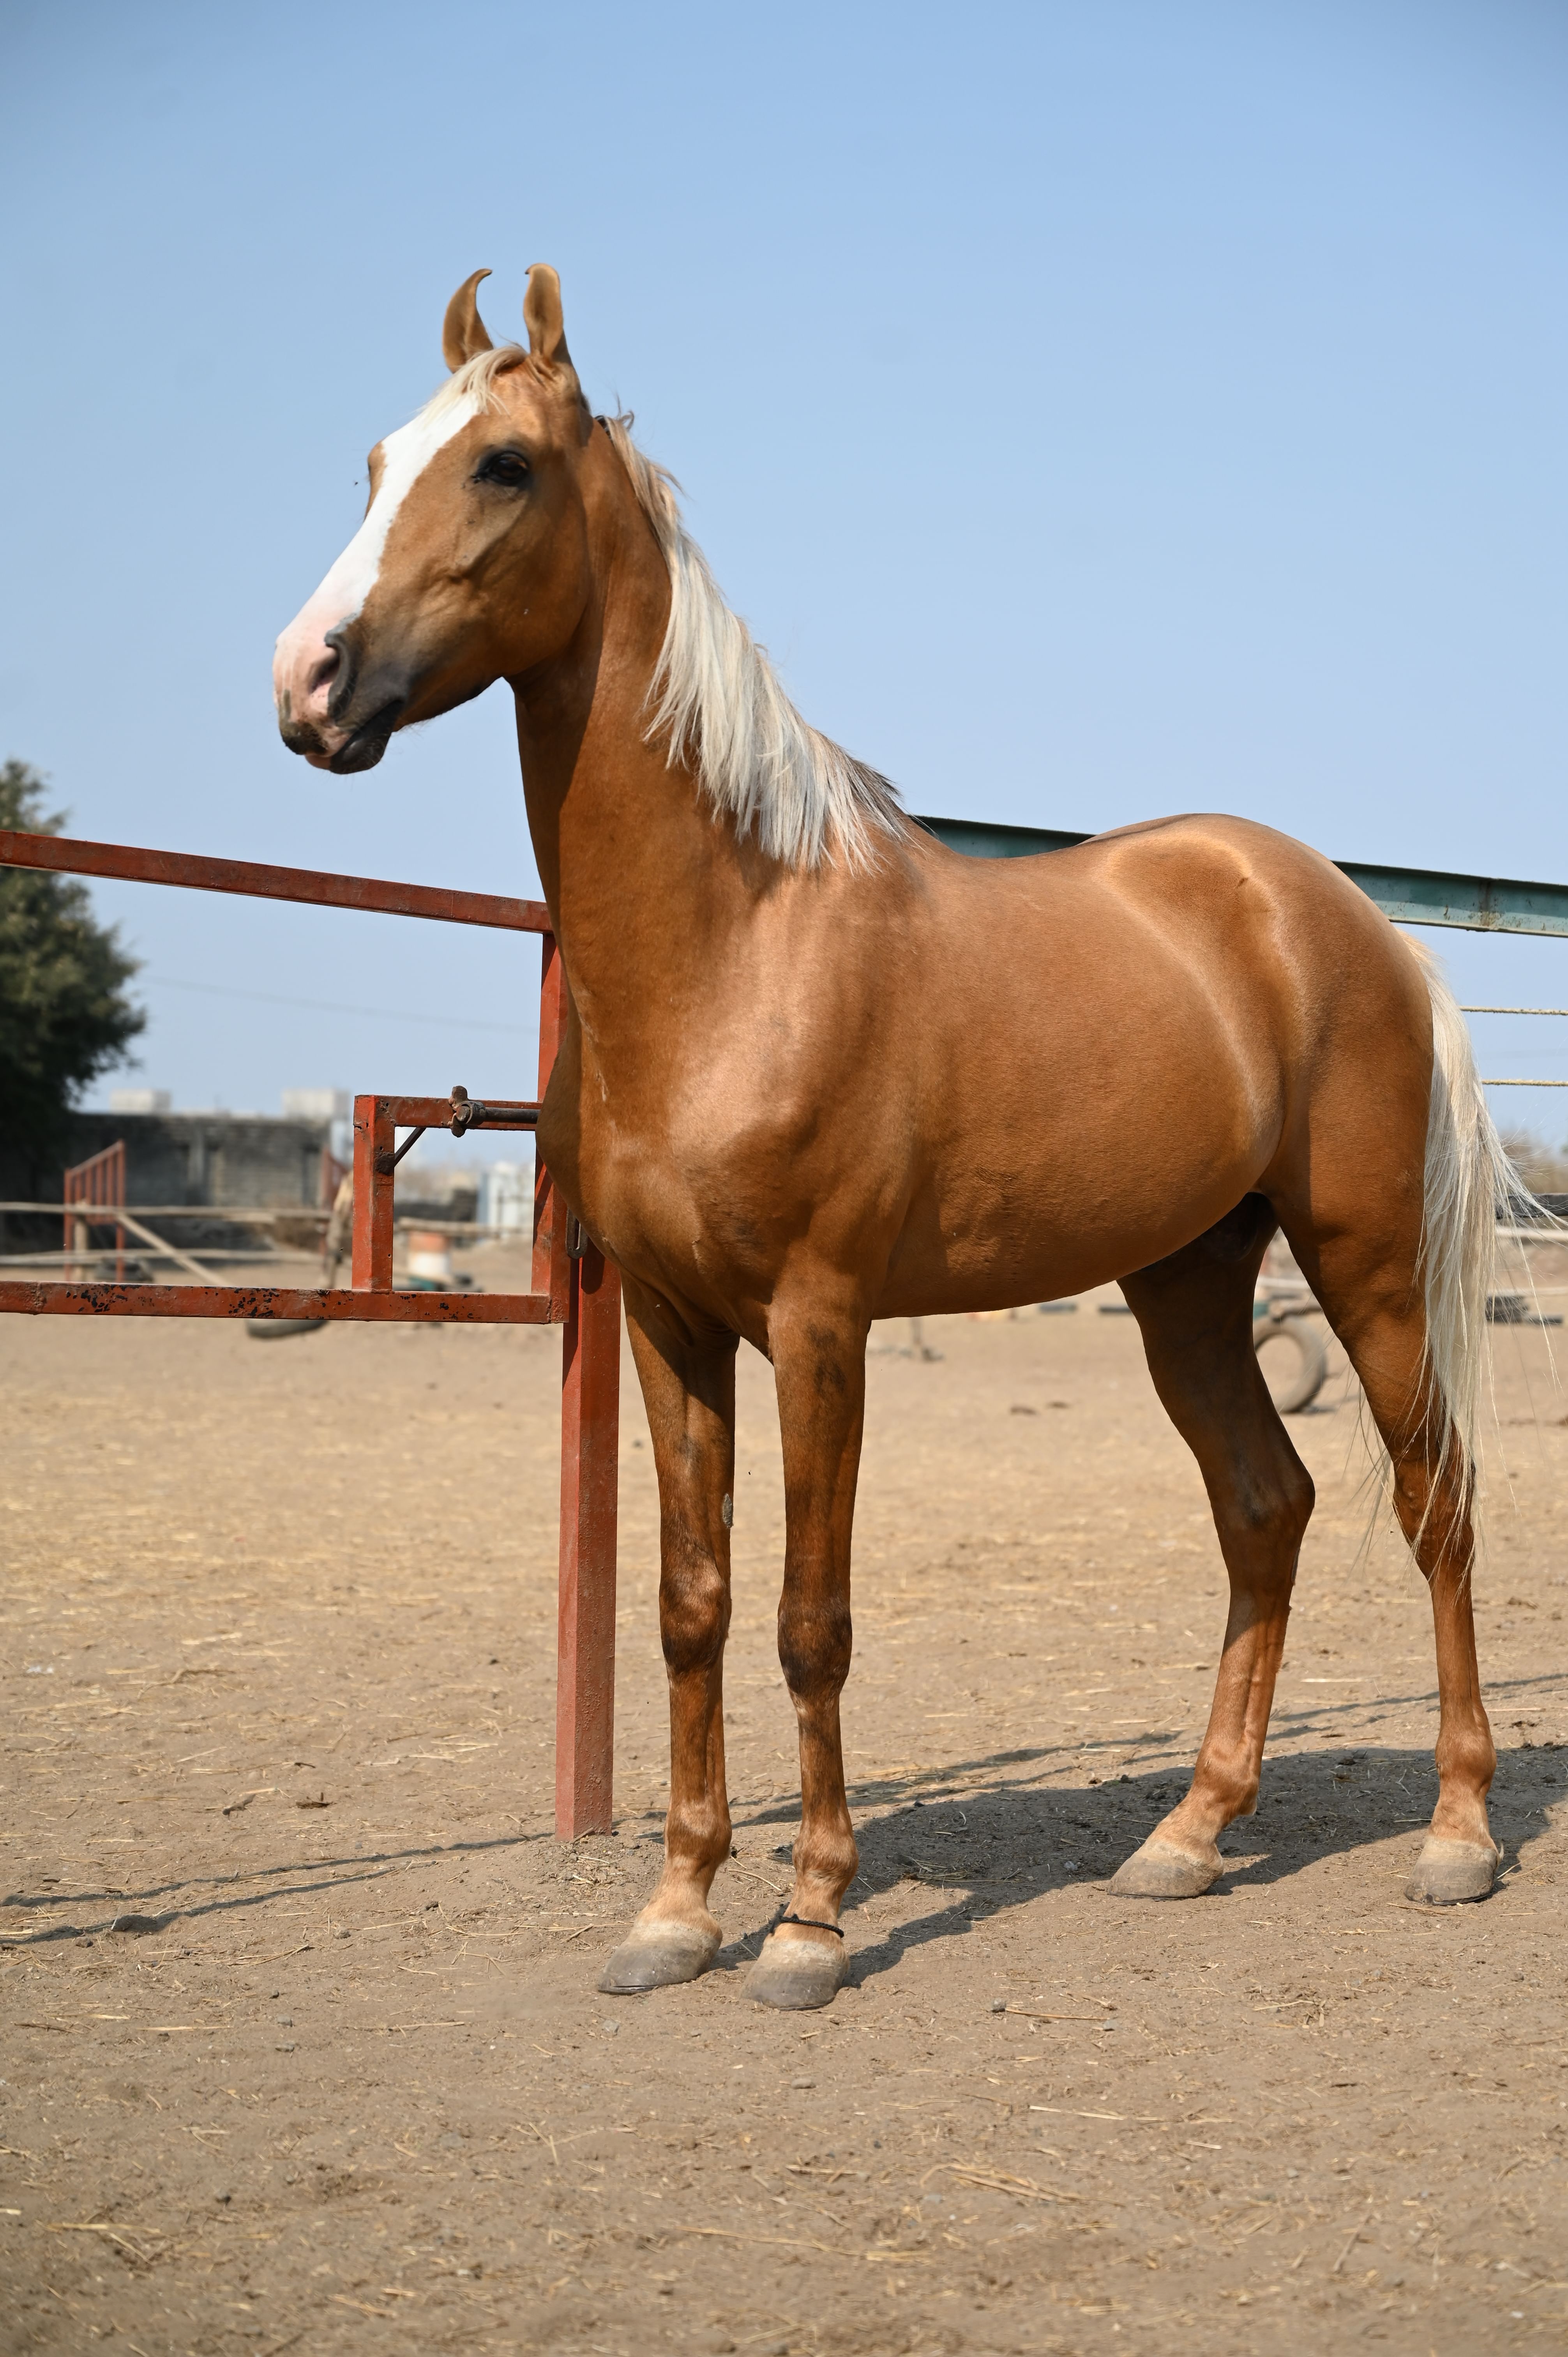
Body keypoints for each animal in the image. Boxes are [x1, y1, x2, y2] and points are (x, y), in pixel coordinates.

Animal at [274, 264, 1517, 2011]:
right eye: (378, 462)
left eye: (501, 466)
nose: (307, 682)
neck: (739, 947)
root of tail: (1345, 918)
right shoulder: (669, 1325)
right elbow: (691, 1606)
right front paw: (674, 1912)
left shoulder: (820, 1323)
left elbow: (811, 1618)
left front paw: (807, 1921)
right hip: (1187, 1284)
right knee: (1265, 1506)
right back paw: (1188, 1837)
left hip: (1367, 1268)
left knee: (1434, 1502)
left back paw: (1457, 1836)